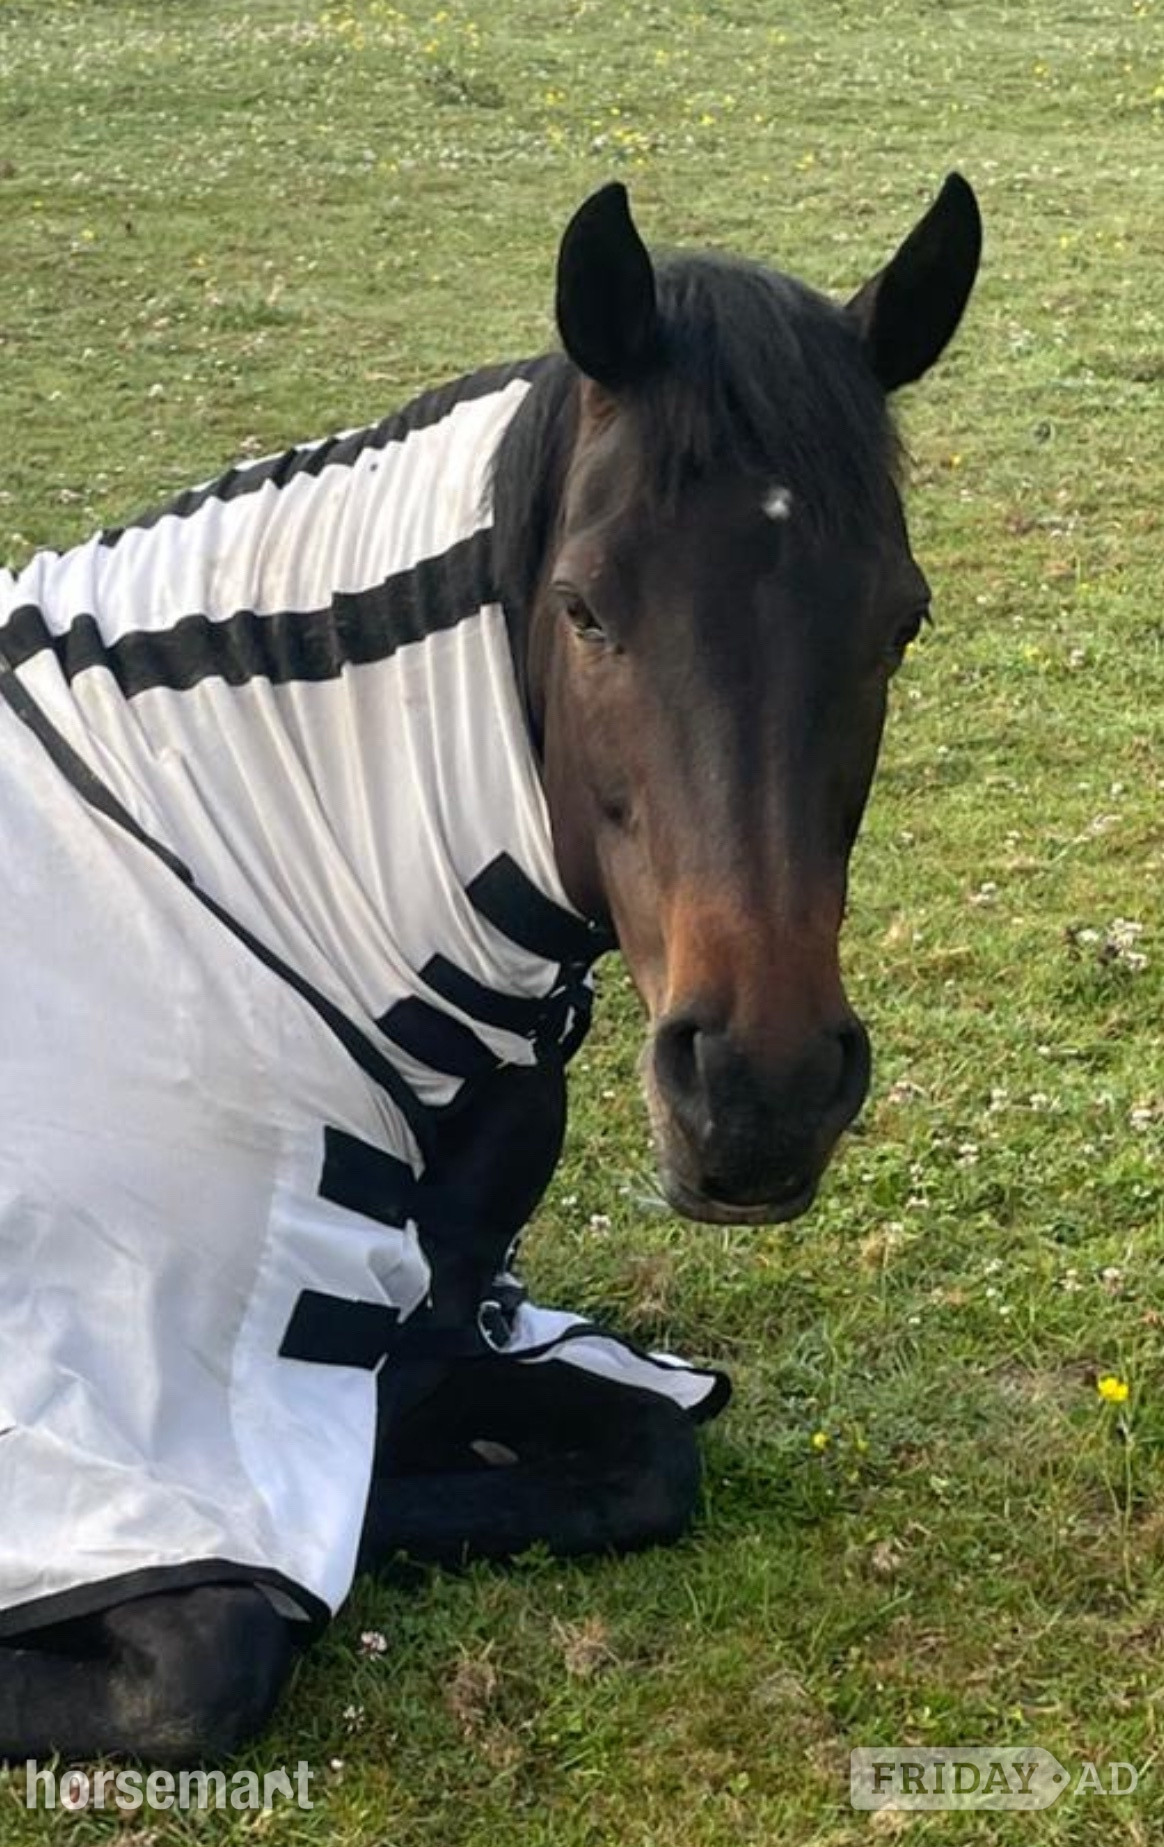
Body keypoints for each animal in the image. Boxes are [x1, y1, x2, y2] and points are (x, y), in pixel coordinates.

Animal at [0, 174, 981, 1764]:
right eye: (584, 607)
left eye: (903, 616)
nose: (760, 1089)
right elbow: (214, 1644)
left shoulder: (436, 1321)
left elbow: (647, 1448)